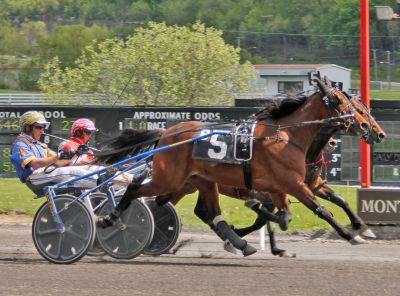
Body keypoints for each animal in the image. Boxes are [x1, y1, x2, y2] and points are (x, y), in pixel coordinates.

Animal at [97, 78, 372, 254]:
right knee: (137, 189)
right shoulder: (292, 184)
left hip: (199, 182)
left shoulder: (282, 187)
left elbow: (285, 215)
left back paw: (237, 242)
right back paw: (110, 219)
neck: (286, 137)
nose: (367, 127)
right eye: (338, 100)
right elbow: (320, 210)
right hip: (169, 178)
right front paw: (350, 235)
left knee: (192, 209)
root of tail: (167, 133)